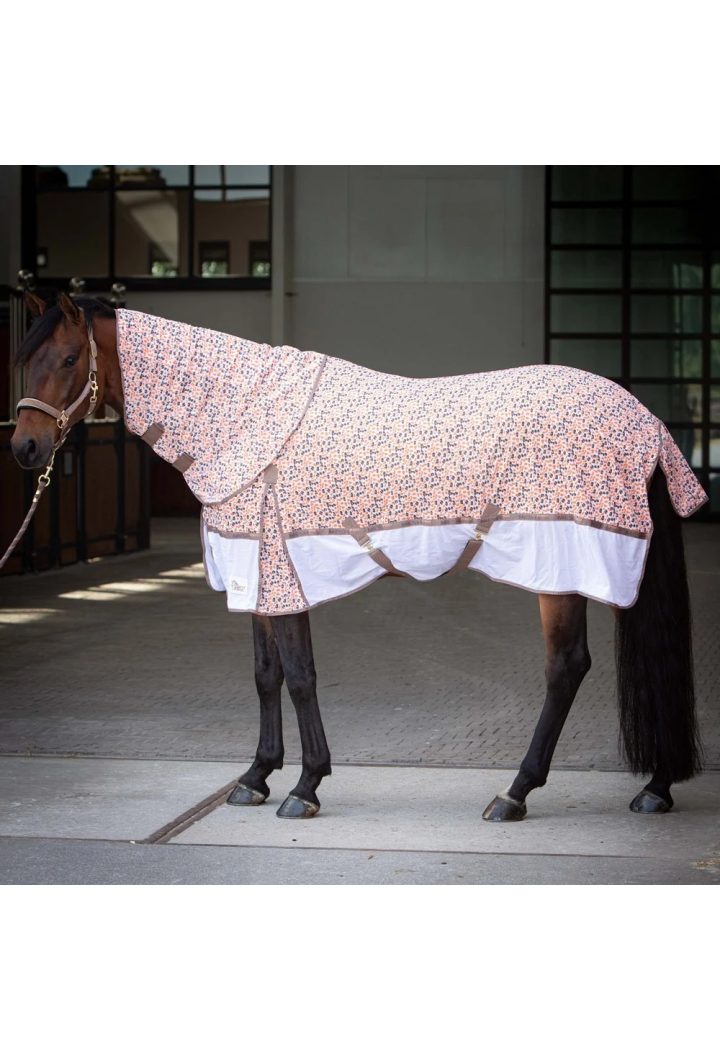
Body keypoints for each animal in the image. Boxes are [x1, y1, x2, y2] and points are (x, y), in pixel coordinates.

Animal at [9, 292, 704, 822]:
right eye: (25, 361)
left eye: (69, 358)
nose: (25, 447)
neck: (241, 416)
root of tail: (645, 421)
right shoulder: (257, 577)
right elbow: (266, 676)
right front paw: (255, 778)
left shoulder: (281, 572)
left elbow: (300, 676)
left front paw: (305, 786)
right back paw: (654, 787)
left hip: (567, 568)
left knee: (567, 667)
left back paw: (516, 793)